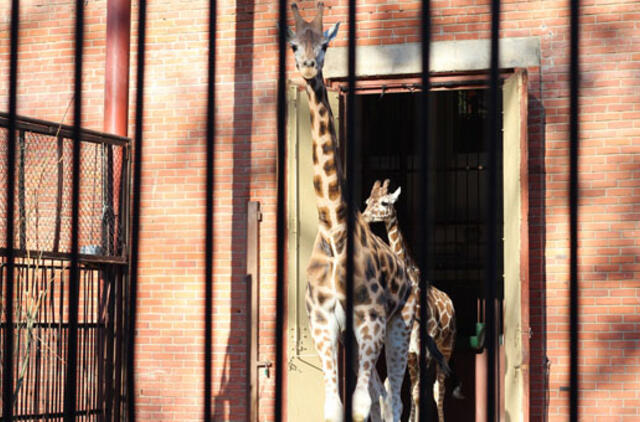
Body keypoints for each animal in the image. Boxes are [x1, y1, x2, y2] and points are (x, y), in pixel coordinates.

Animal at [288, 2, 418, 418]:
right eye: (294, 44)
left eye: (325, 44)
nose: (309, 66)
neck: (333, 228)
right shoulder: (323, 321)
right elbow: (335, 405)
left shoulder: (370, 316)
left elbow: (361, 404)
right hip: (359, 336)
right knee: (382, 394)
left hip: (398, 323)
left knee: (393, 396)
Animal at [362, 180, 462, 422]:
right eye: (368, 200)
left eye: (384, 202)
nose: (364, 216)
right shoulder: (409, 349)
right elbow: (407, 390)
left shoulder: (422, 349)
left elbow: (418, 392)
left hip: (447, 346)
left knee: (439, 389)